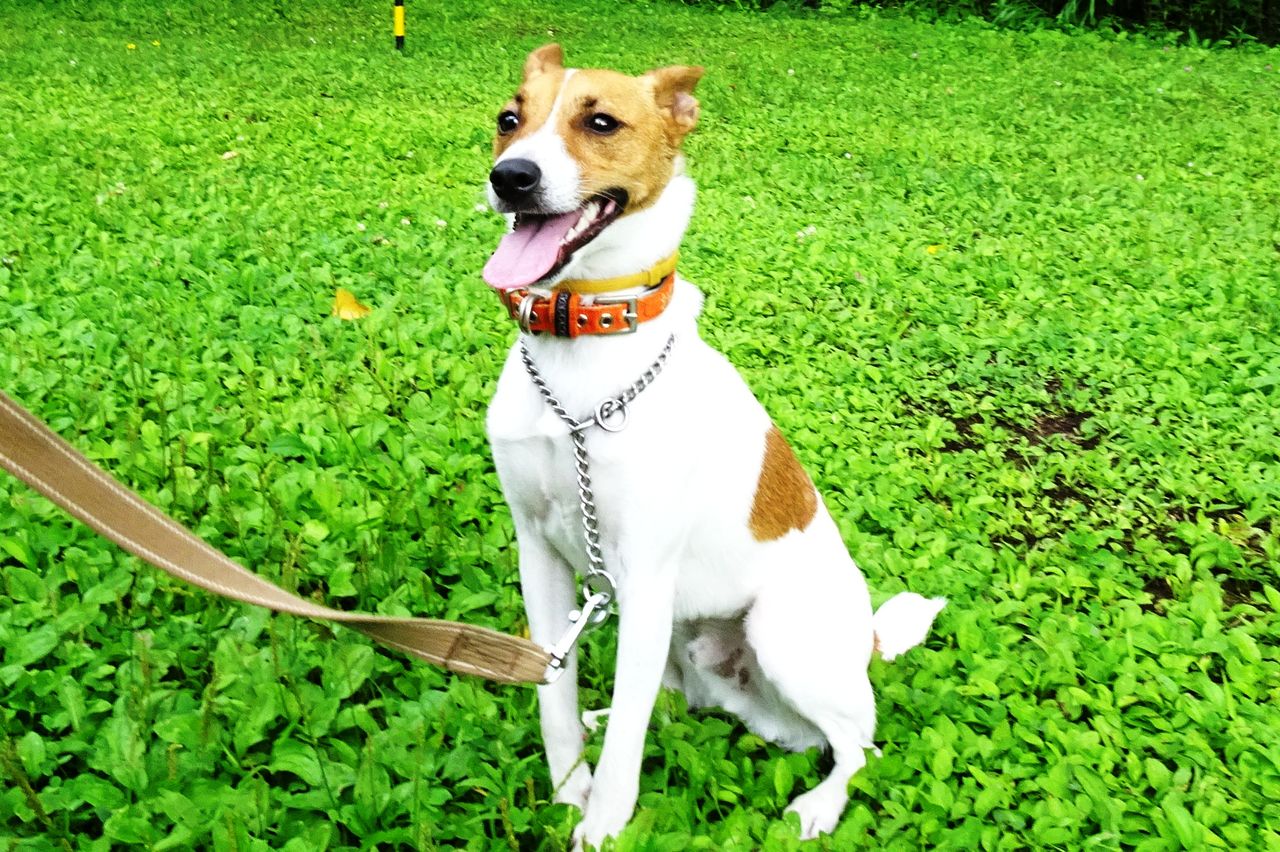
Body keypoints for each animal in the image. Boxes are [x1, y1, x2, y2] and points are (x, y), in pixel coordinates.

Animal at [481, 44, 946, 847]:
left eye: (600, 123)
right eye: (510, 120)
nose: (510, 178)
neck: (580, 348)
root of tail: (867, 645)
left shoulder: (643, 575)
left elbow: (627, 749)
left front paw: (602, 825)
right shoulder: (539, 555)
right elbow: (554, 700)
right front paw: (571, 788)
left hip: (778, 631)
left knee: (859, 746)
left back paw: (820, 805)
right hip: (678, 631)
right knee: (673, 701)